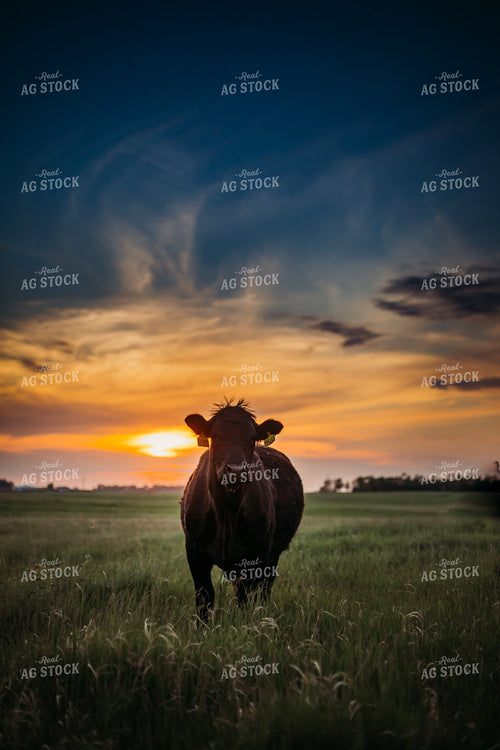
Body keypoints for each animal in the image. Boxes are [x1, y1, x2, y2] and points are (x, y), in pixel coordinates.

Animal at [181, 399, 304, 621]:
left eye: (252, 438)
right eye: (216, 436)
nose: (236, 471)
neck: (227, 512)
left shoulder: (256, 555)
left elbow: (247, 598)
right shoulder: (194, 552)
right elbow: (204, 597)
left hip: (272, 555)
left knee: (263, 589)